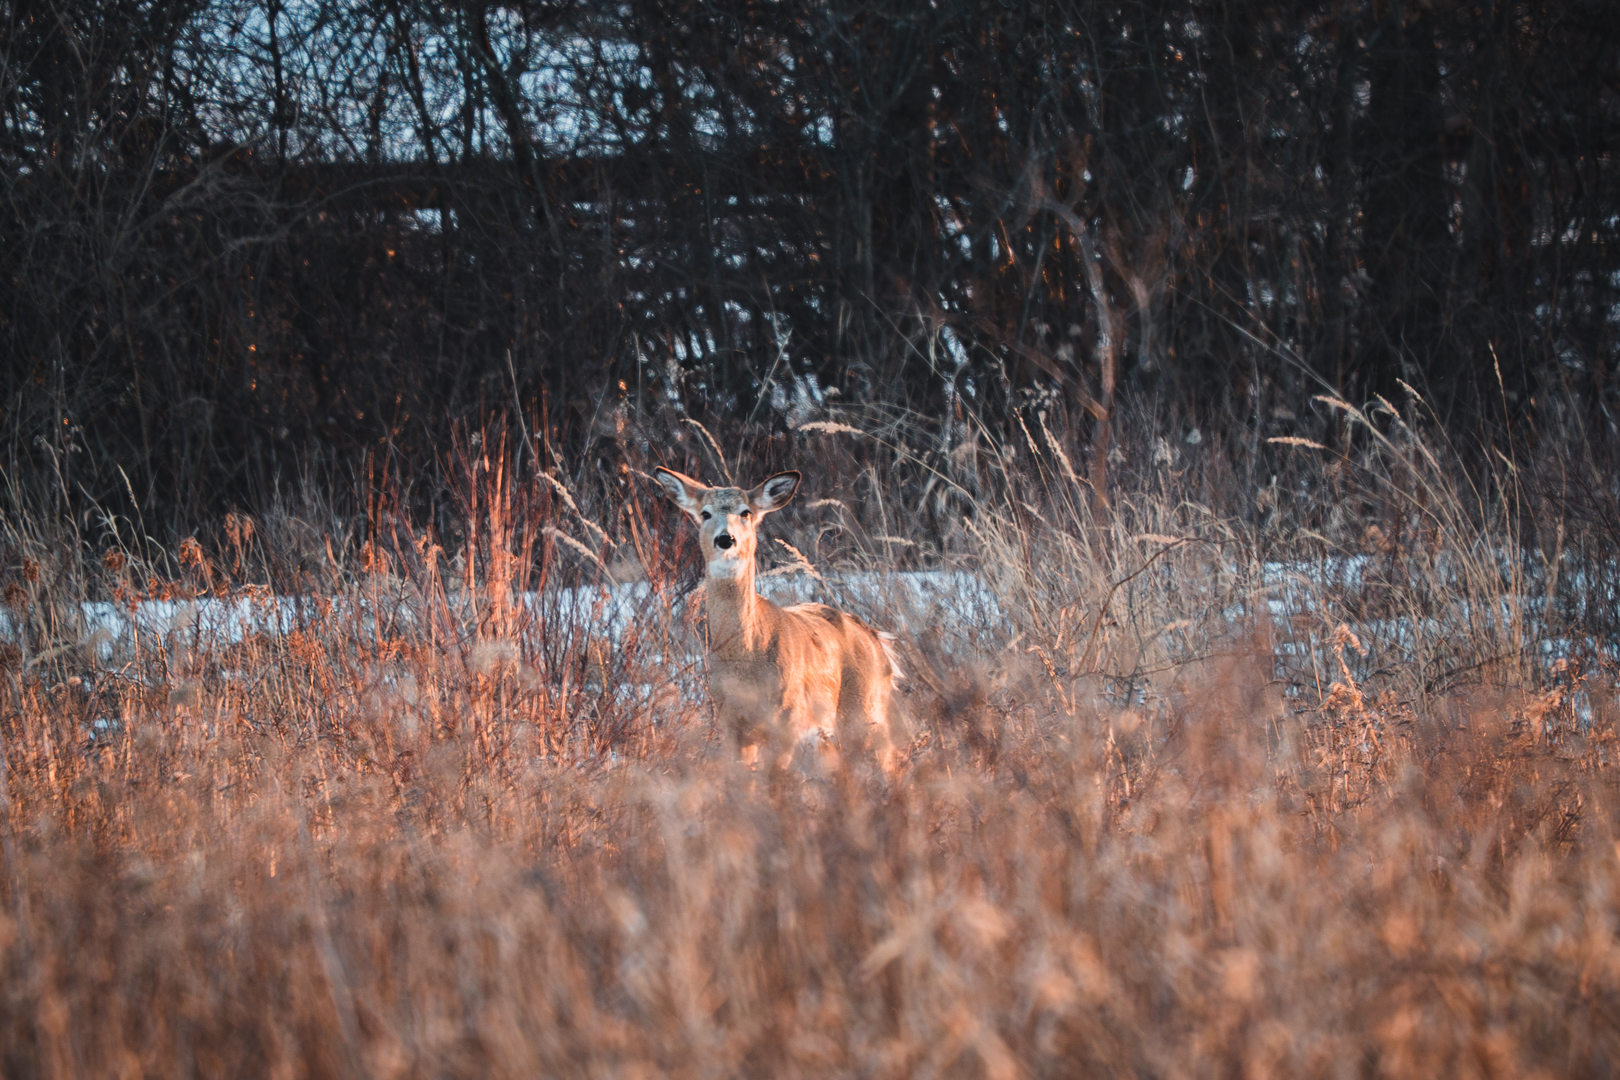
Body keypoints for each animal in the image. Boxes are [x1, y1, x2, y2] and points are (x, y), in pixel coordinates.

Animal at [654, 465, 904, 776]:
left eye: (746, 512)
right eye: (705, 513)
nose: (725, 539)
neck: (745, 661)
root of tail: (875, 638)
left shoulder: (787, 721)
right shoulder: (729, 724)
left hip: (865, 708)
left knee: (890, 761)